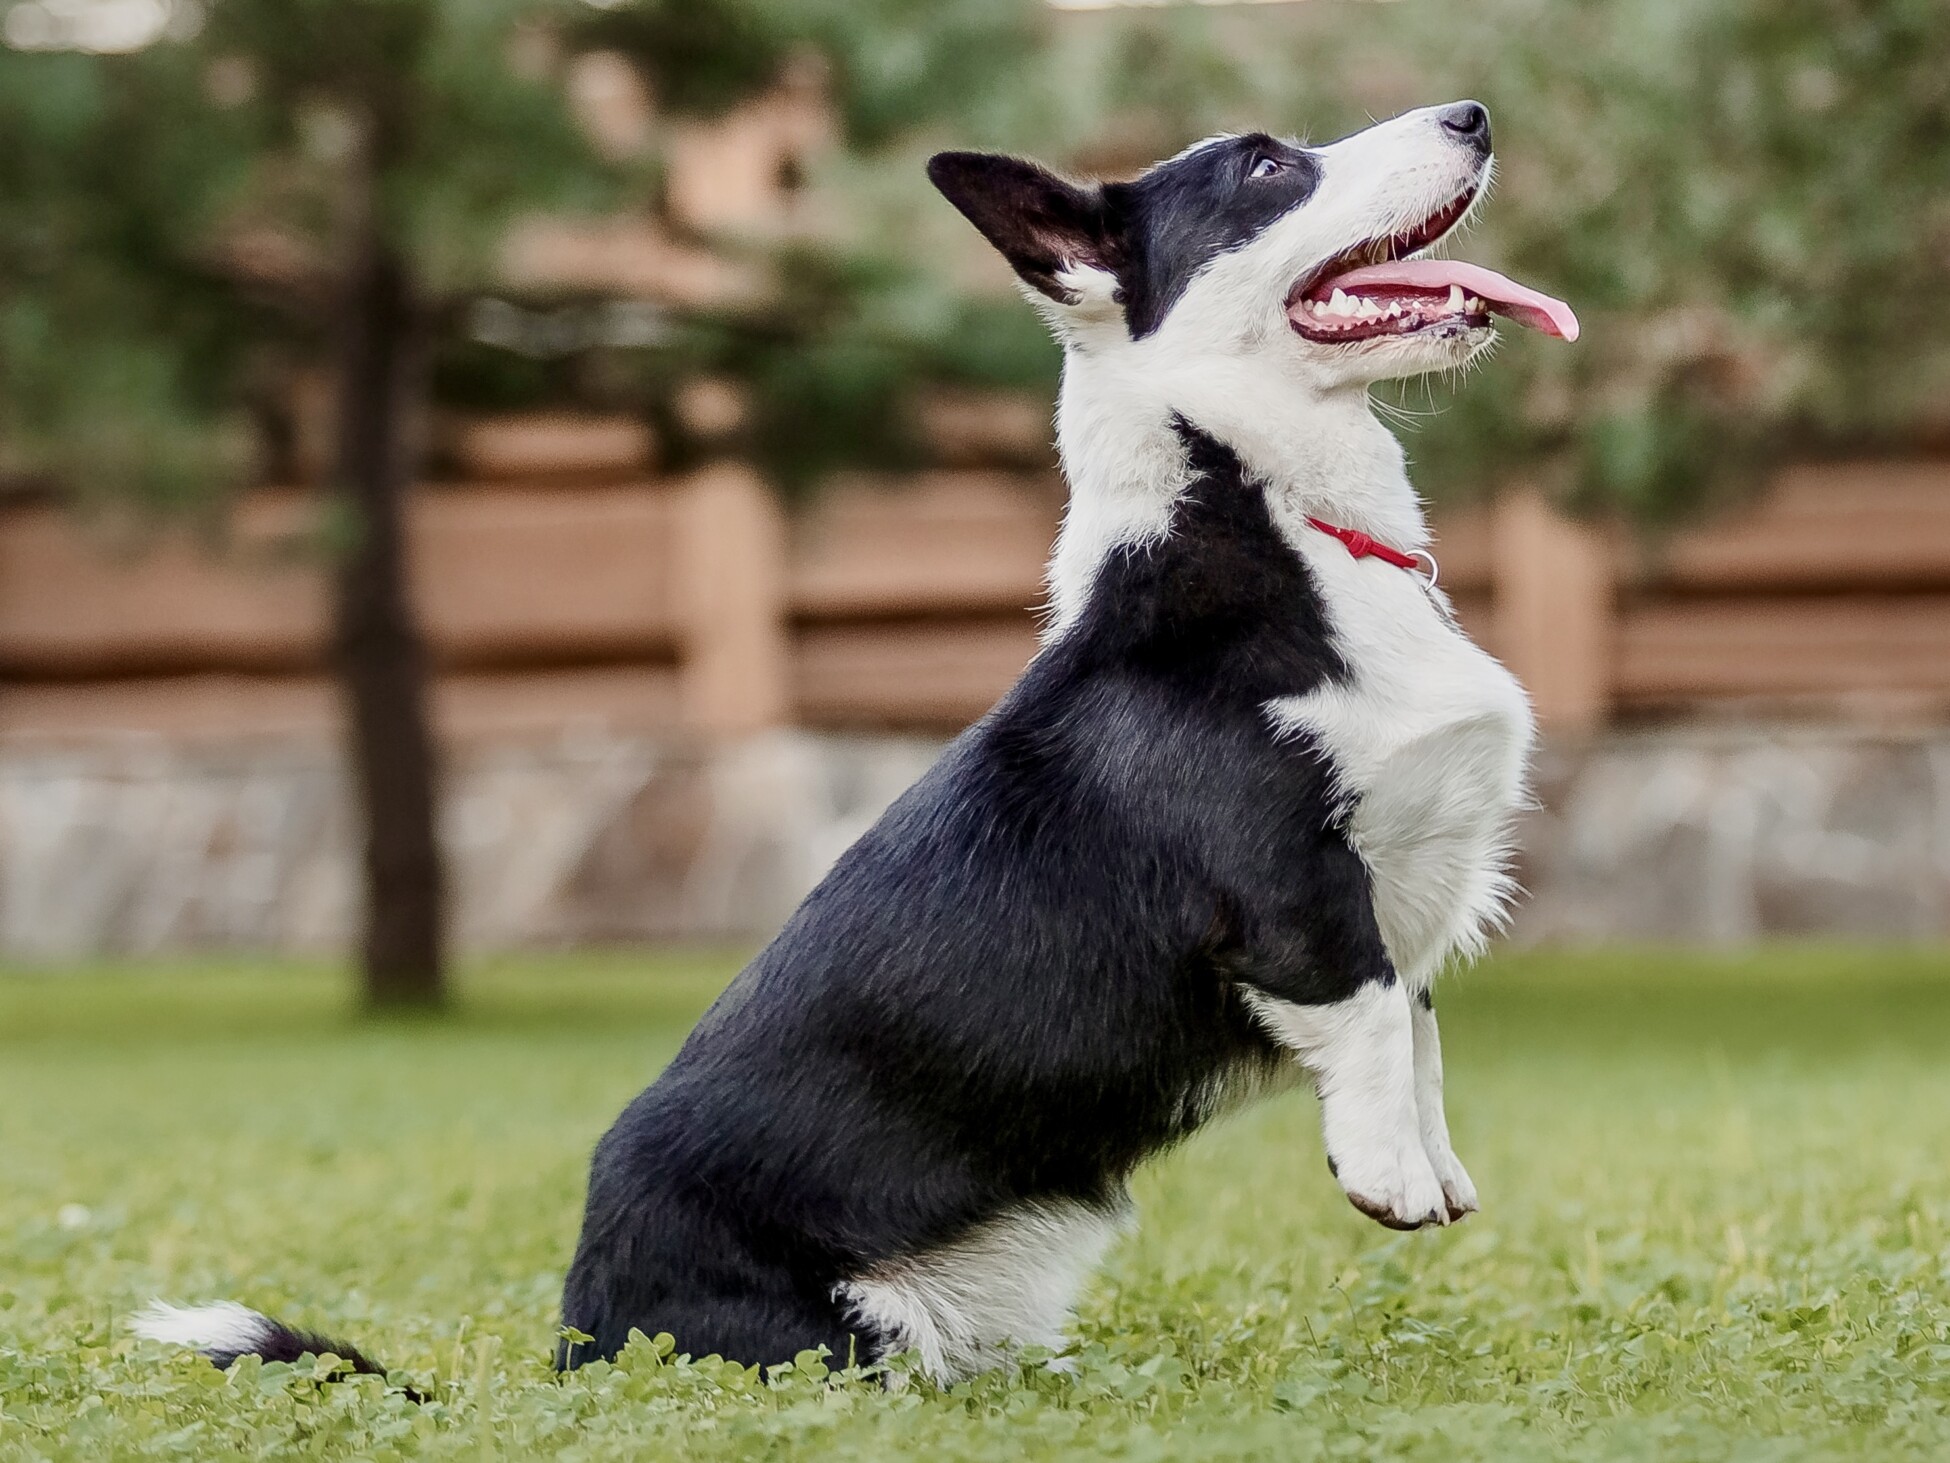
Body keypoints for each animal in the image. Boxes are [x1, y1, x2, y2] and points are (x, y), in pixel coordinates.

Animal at [137, 100, 1567, 1388]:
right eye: (1267, 167)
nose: (1473, 114)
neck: (1275, 514)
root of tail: (576, 1347)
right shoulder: (1291, 889)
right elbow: (1373, 1013)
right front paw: (1391, 1182)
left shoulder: (1404, 886)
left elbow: (1422, 1033)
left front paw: (1437, 1170)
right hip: (836, 1342)